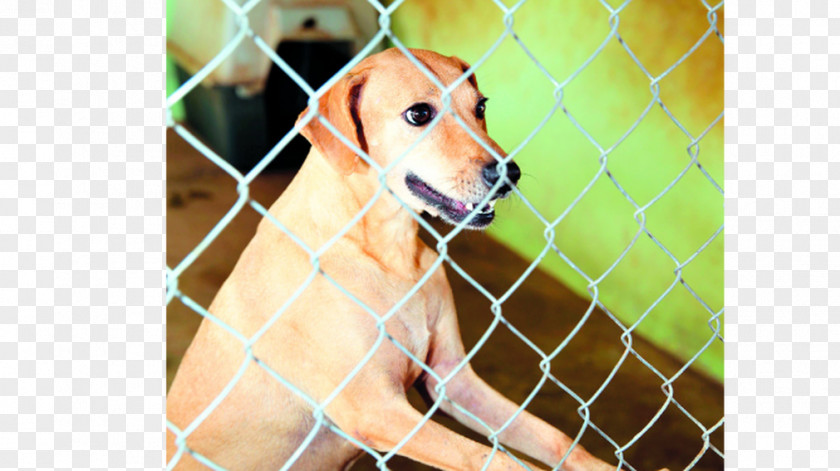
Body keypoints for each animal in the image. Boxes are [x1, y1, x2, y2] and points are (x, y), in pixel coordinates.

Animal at [166, 48, 636, 471]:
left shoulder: (451, 380)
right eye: (419, 114)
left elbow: (554, 439)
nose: (509, 175)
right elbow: (493, 458)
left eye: (480, 107)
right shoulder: (377, 409)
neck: (387, 251)